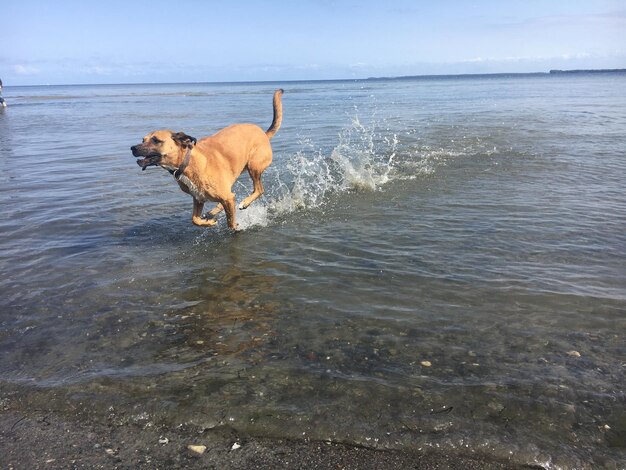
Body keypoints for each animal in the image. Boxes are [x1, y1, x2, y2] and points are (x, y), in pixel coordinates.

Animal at [132, 89, 282, 229]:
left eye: (156, 140)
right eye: (143, 140)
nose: (132, 148)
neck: (187, 163)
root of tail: (264, 134)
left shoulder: (223, 197)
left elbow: (230, 223)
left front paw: (235, 227)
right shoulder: (199, 198)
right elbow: (195, 219)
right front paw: (209, 222)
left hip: (254, 167)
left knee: (259, 189)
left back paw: (244, 203)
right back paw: (213, 212)